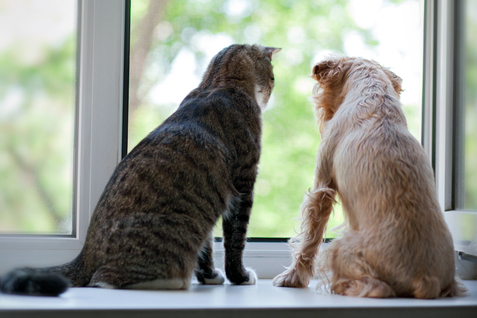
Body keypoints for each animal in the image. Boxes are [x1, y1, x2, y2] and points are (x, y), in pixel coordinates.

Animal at [0, 44, 280, 296]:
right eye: (273, 78)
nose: (270, 96)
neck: (217, 82)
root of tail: (86, 255)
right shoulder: (243, 182)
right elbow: (235, 239)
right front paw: (240, 276)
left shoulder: (216, 192)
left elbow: (208, 247)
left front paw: (210, 276)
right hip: (179, 229)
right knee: (104, 278)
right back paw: (175, 280)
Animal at [274, 57, 466, 298]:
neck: (375, 95)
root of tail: (424, 279)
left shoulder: (322, 187)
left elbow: (310, 237)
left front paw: (292, 277)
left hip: (341, 247)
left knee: (375, 286)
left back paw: (342, 286)